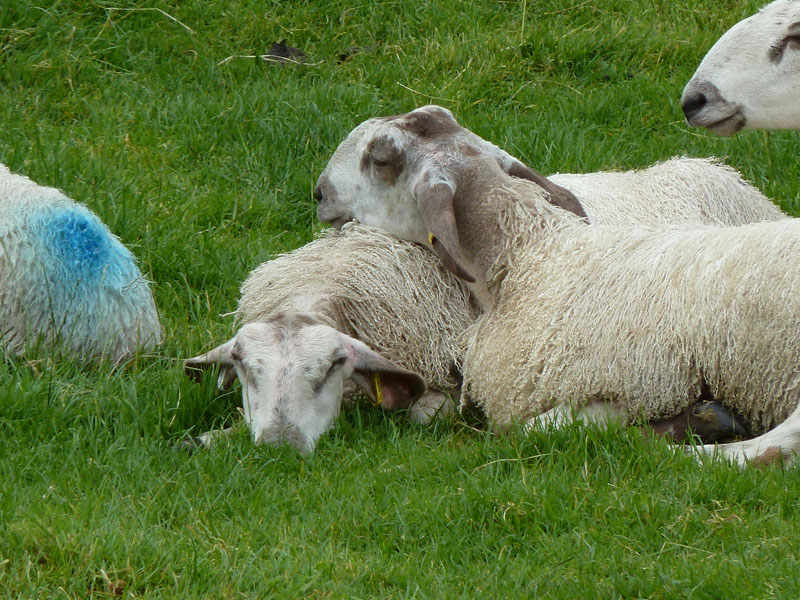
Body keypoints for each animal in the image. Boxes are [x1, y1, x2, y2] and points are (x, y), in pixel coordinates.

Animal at [314, 104, 800, 466]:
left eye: (380, 159)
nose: (318, 192)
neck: (531, 256)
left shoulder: (626, 382)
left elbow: (535, 430)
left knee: (771, 448)